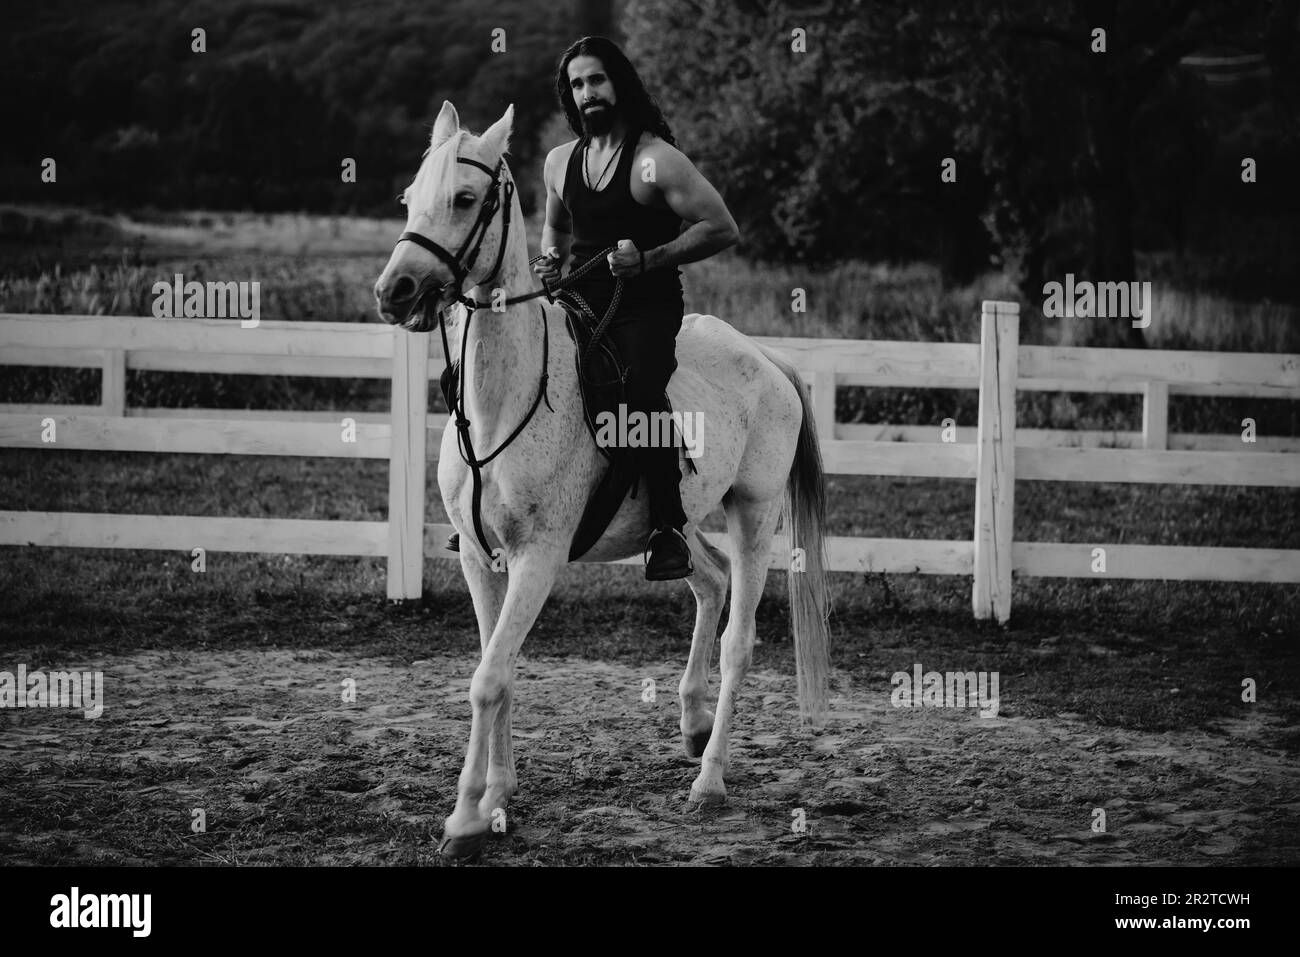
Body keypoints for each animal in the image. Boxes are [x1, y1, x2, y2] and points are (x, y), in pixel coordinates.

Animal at [374, 100, 832, 858]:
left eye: (465, 199)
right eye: (409, 198)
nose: (395, 291)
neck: (504, 401)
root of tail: (767, 358)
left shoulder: (538, 558)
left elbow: (488, 678)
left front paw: (465, 818)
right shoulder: (479, 557)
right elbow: (498, 668)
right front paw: (498, 795)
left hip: (755, 514)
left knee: (738, 638)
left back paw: (709, 779)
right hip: (678, 522)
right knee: (708, 581)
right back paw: (692, 724)